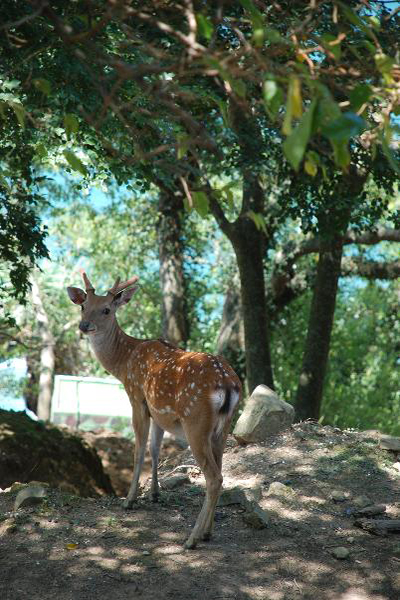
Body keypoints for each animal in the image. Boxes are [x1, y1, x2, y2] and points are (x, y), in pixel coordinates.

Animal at [67, 272, 241, 548]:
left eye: (106, 309)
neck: (124, 362)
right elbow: (155, 448)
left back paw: (191, 538)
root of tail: (228, 383)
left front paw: (129, 500)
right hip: (223, 427)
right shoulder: (158, 410)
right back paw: (207, 532)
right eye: (84, 306)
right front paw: (155, 494)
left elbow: (139, 449)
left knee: (214, 478)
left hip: (195, 422)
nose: (85, 326)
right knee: (221, 471)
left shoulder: (137, 397)